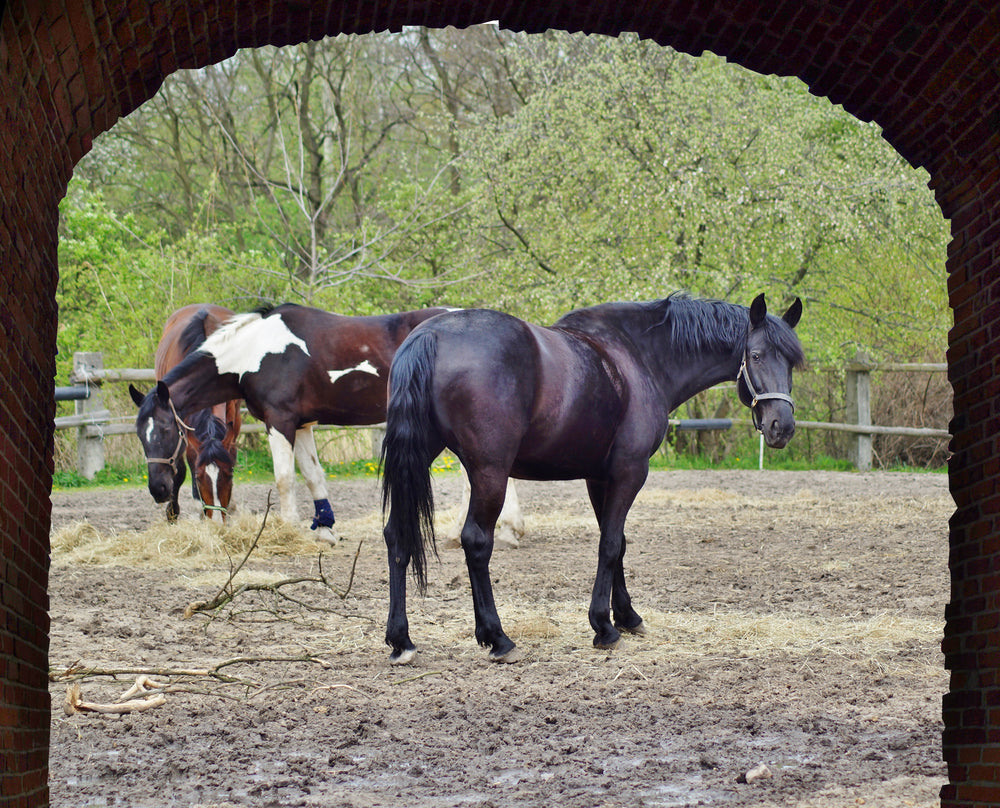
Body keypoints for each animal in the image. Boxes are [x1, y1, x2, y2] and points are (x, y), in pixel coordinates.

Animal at [380, 292, 804, 664]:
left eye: (791, 363)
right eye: (755, 355)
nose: (781, 427)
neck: (639, 356)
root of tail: (431, 335)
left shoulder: (599, 479)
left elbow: (617, 542)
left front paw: (627, 616)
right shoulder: (630, 471)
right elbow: (611, 544)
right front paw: (604, 626)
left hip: (420, 456)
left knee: (397, 535)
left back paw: (401, 640)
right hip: (490, 473)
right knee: (476, 542)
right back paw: (498, 637)